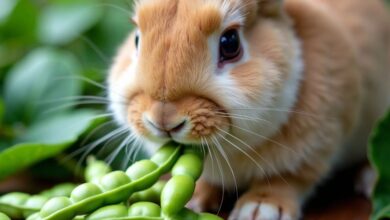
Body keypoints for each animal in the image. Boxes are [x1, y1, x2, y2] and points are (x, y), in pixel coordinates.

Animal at [107, 0, 390, 219]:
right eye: (136, 39)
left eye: (230, 43)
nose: (163, 120)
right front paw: (193, 198)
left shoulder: (317, 147)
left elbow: (288, 178)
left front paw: (260, 209)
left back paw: (369, 180)